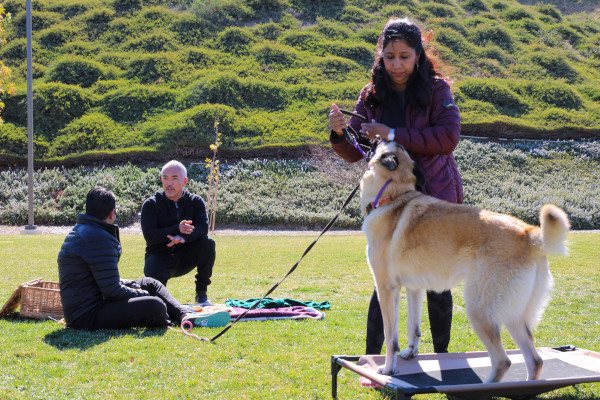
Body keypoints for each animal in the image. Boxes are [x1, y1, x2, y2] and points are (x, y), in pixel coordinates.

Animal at [358, 141, 568, 382]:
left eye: (387, 144)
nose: (375, 139)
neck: (394, 196)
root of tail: (529, 233)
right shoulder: (414, 288)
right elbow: (414, 327)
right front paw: (411, 353)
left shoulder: (386, 288)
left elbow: (391, 337)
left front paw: (388, 370)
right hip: (514, 316)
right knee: (535, 360)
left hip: (479, 311)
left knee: (503, 361)